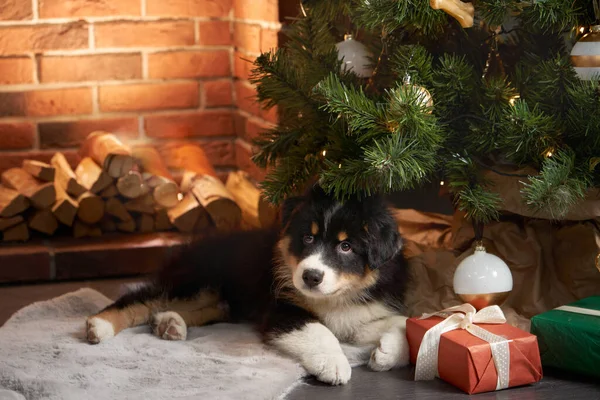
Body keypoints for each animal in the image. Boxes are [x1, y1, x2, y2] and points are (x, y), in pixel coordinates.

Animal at [85, 184, 412, 384]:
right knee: (140, 298)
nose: (310, 276)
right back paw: (100, 326)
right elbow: (318, 330)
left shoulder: (365, 312)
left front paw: (386, 355)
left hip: (220, 296)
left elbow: (403, 322)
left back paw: (169, 323)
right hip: (196, 280)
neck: (336, 298)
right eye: (307, 238)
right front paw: (334, 364)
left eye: (346, 247)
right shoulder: (281, 310)